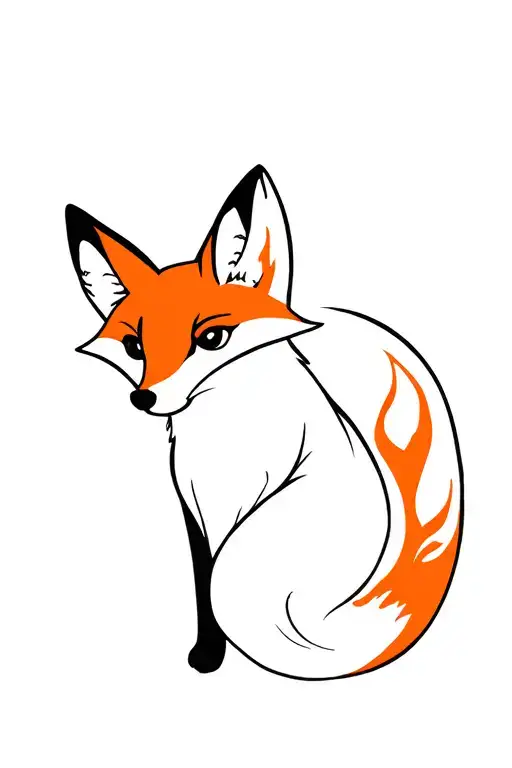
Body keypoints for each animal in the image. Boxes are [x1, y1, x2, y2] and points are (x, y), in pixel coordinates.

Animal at [66, 165, 463, 680]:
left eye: (212, 338)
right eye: (136, 347)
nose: (143, 397)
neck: (225, 443)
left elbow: (211, 593)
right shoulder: (196, 514)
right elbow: (202, 592)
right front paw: (208, 655)